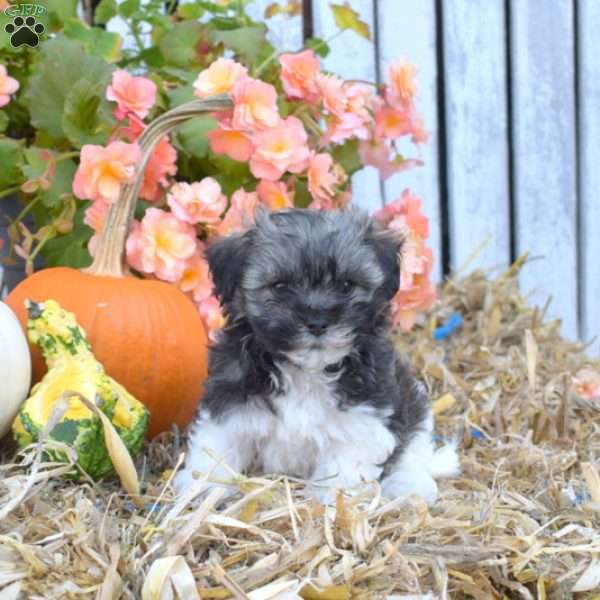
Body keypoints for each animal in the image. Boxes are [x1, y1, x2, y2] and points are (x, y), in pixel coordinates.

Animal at [173, 206, 460, 502]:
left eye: (345, 285)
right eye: (280, 287)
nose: (317, 321)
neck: (306, 371)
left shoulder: (365, 412)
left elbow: (344, 465)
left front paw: (334, 499)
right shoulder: (230, 394)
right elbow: (218, 442)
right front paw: (203, 484)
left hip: (414, 404)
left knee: (413, 448)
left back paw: (409, 484)